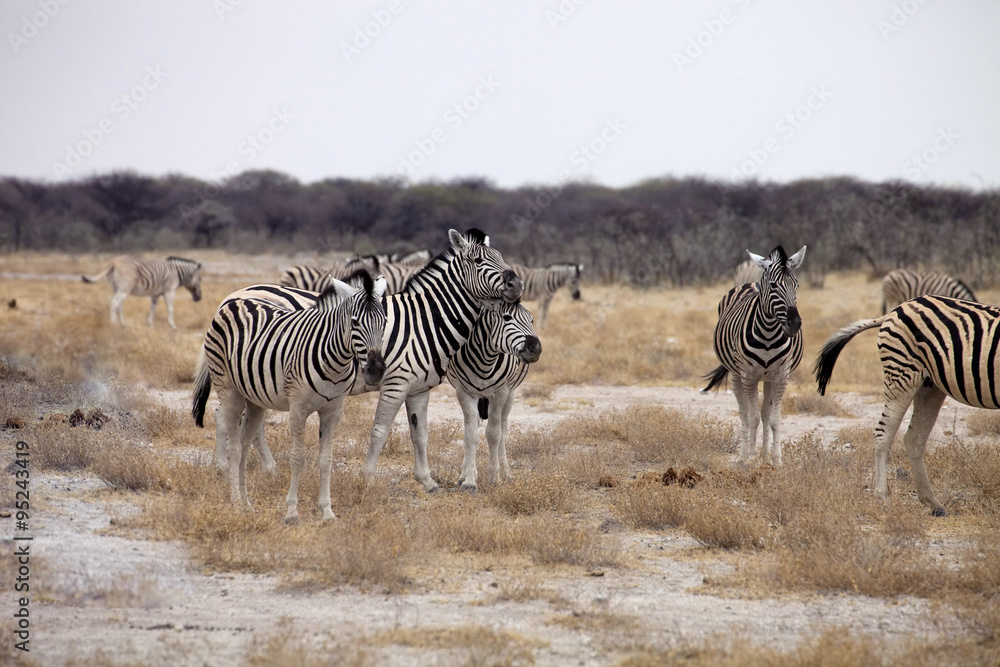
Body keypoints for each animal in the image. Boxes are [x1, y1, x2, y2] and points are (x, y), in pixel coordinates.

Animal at [191, 271, 388, 523]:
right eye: (355, 322)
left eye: (384, 322)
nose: (376, 371)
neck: (336, 360)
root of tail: (231, 301)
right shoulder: (298, 409)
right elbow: (298, 458)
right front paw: (292, 512)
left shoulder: (333, 410)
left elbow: (326, 459)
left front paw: (327, 512)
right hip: (228, 387)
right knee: (234, 445)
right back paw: (235, 501)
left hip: (254, 398)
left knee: (244, 444)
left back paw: (246, 504)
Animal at [447, 300, 542, 491]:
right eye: (507, 318)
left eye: (531, 320)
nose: (536, 349)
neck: (485, 359)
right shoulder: (463, 391)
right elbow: (470, 434)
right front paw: (469, 481)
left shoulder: (501, 392)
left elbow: (493, 434)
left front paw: (494, 477)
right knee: (474, 424)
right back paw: (464, 474)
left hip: (511, 393)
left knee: (503, 428)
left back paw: (505, 473)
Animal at [702, 245, 807, 466]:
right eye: (774, 285)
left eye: (796, 285)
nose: (794, 324)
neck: (768, 334)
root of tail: (750, 282)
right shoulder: (748, 376)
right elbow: (752, 418)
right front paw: (750, 457)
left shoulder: (781, 376)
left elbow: (773, 419)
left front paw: (776, 460)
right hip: (736, 374)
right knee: (743, 412)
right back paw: (743, 455)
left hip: (767, 377)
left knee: (765, 413)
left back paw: (765, 455)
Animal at [815, 295, 999, 516]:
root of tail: (897, 308)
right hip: (902, 376)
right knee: (883, 433)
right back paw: (883, 497)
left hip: (930, 385)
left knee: (914, 438)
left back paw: (933, 503)